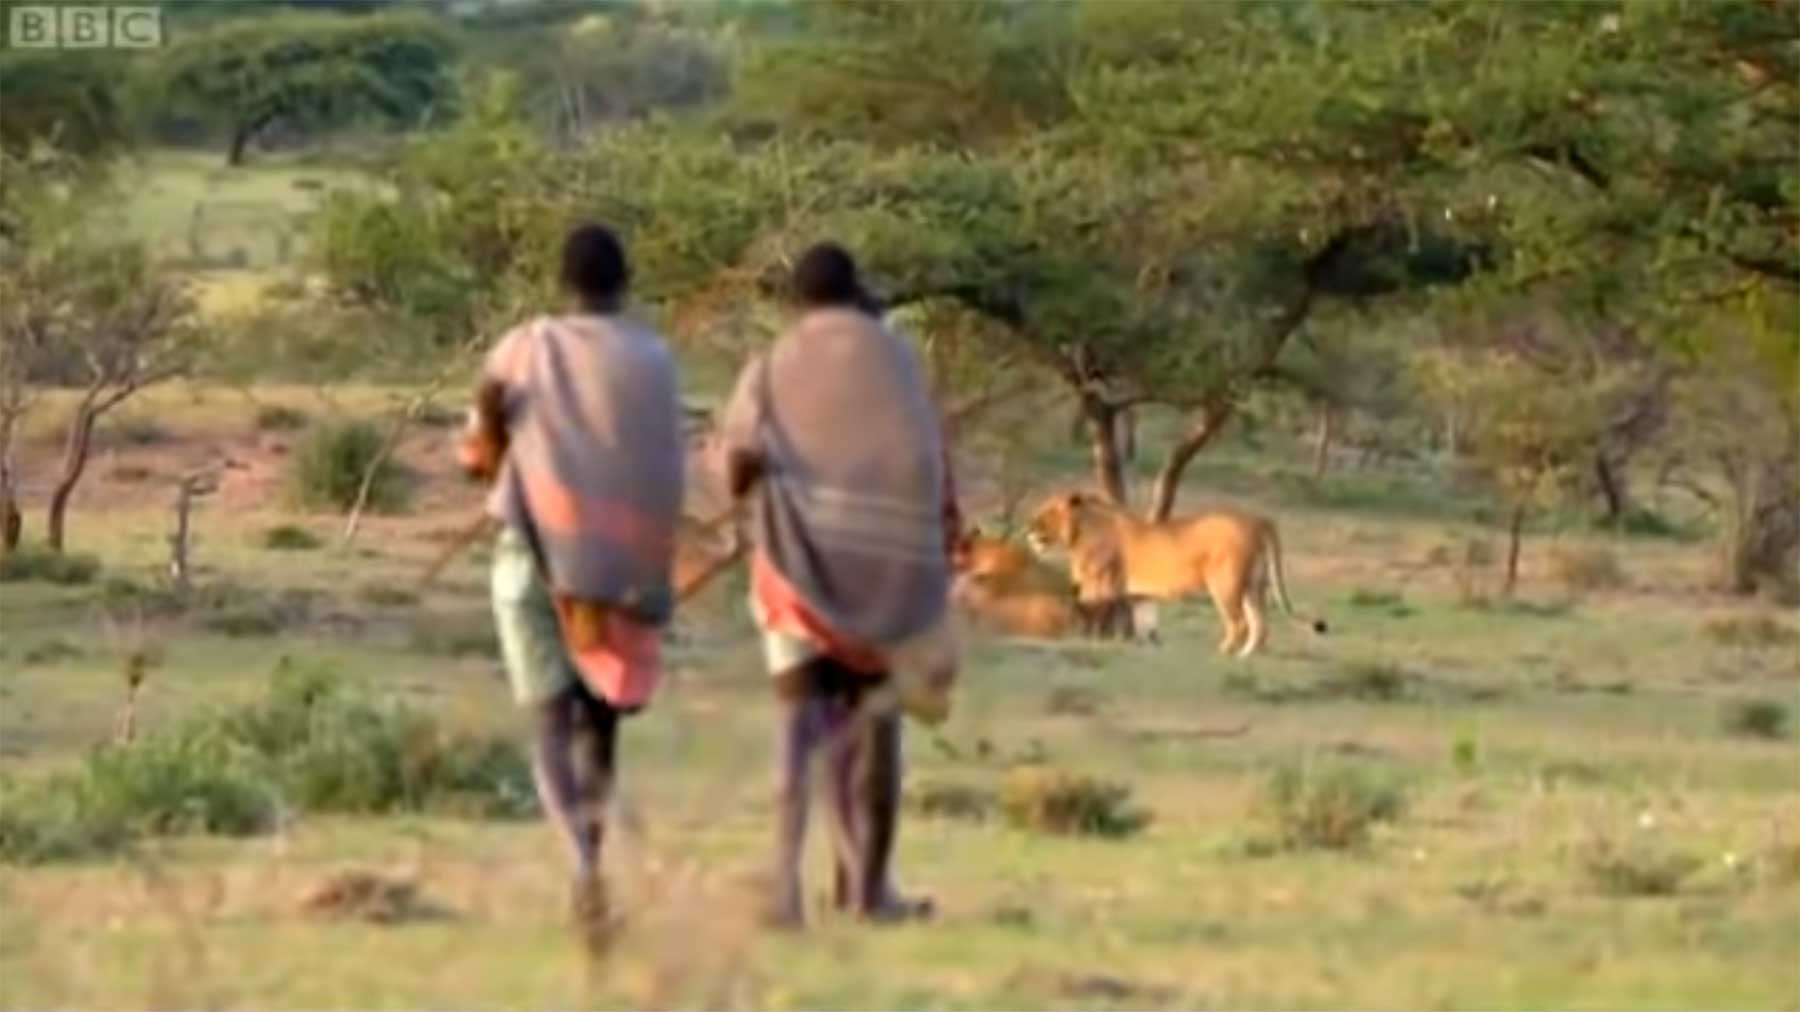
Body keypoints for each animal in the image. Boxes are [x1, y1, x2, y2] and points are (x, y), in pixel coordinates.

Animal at [1029, 489, 1324, 655]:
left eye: (1049, 511)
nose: (1029, 526)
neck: (1079, 533)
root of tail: (1258, 519)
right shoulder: (1140, 596)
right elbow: (1144, 624)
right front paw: (1146, 648)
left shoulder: (1097, 586)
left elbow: (1088, 615)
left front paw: (1086, 641)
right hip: (1254, 585)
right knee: (1260, 624)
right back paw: (1246, 656)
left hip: (1225, 584)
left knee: (1239, 622)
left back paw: (1223, 653)